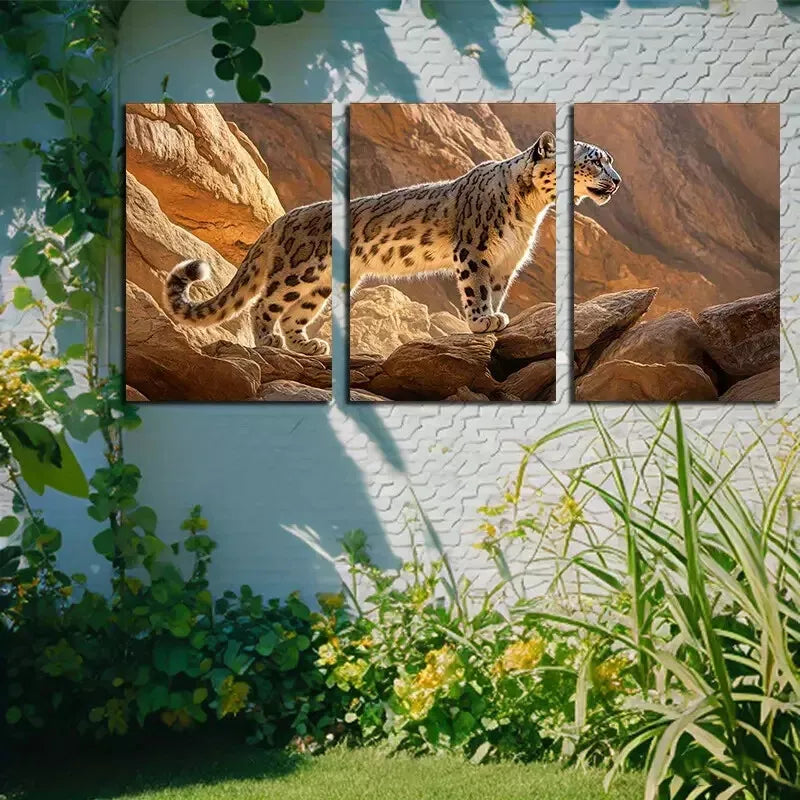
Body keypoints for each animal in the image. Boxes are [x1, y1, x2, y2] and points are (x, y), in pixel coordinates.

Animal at [164, 134, 618, 354]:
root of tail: (282, 219)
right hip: (299, 271)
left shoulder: (506, 261)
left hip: (321, 284)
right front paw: (481, 321)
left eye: (608, 161)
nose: (616, 181)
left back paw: (306, 345)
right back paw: (268, 342)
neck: (532, 209)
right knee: (264, 303)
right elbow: (476, 290)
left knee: (295, 313)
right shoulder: (474, 251)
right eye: (595, 161)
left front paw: (495, 316)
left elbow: (495, 290)